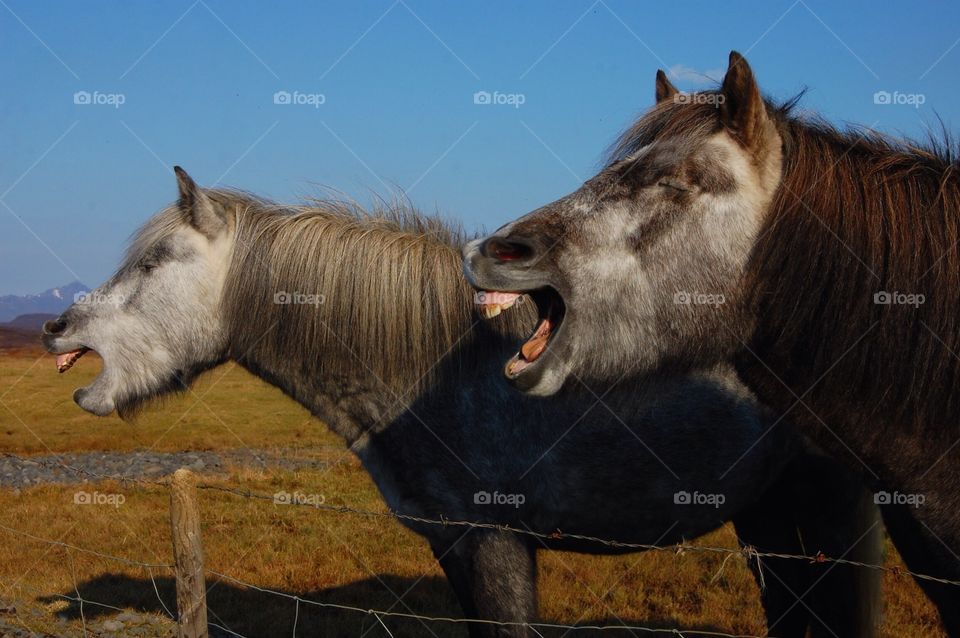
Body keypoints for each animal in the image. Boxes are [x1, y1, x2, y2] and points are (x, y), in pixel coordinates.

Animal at [43, 171, 876, 638]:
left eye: (153, 261)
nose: (58, 327)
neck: (437, 367)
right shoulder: (454, 548)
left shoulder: (496, 542)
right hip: (774, 517)